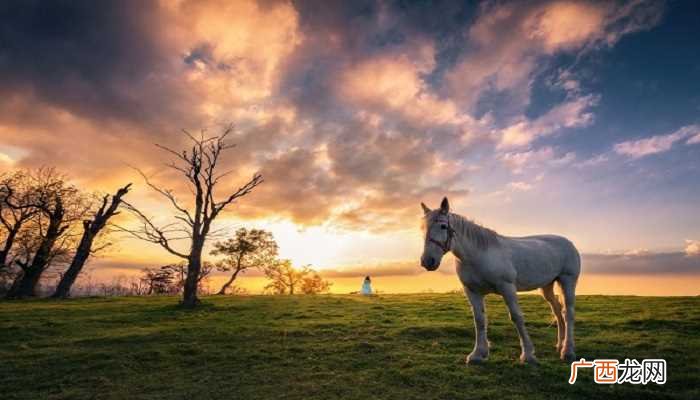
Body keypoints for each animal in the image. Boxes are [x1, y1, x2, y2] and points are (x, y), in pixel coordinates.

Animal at [420, 197, 580, 365]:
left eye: (443, 226)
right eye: (422, 228)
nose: (427, 261)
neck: (479, 254)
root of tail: (568, 242)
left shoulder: (507, 288)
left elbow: (516, 317)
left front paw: (528, 354)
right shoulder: (472, 291)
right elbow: (479, 320)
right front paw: (477, 354)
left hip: (567, 281)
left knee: (568, 313)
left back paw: (567, 351)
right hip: (547, 286)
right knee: (557, 310)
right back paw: (560, 344)